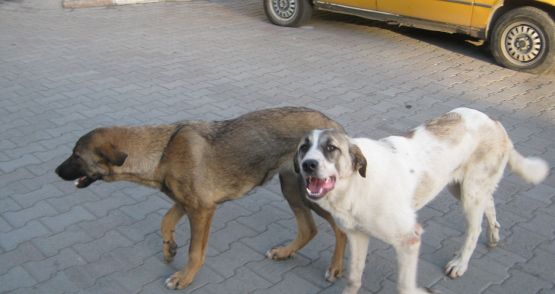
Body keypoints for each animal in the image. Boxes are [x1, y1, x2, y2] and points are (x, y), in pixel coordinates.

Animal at [55, 107, 348, 290]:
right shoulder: (186, 203)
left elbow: (195, 252)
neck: (163, 151)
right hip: (291, 187)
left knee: (341, 229)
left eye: (77, 156)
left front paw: (185, 278)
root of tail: (335, 128)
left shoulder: (202, 210)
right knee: (308, 229)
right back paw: (285, 252)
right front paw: (169, 247)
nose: (56, 172)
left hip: (313, 194)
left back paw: (335, 269)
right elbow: (165, 221)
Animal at [298, 108, 548, 294]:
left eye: (331, 148)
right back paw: (494, 234)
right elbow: (354, 277)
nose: (307, 164)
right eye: (303, 147)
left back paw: (460, 263)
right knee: (490, 203)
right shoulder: (357, 235)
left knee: (474, 228)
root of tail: (494, 122)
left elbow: (404, 286)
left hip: (470, 193)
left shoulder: (409, 240)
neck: (356, 185)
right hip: (461, 187)